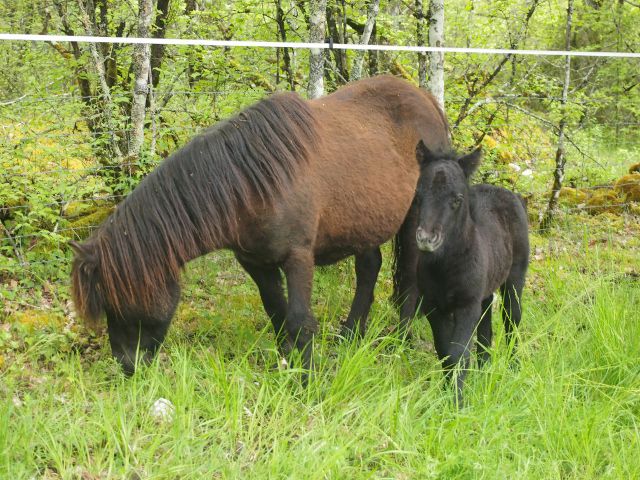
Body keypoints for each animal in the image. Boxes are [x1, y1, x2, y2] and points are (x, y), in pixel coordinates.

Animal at [70, 75, 451, 375]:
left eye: (118, 301)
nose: (127, 366)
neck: (252, 185)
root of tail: (426, 99)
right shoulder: (255, 263)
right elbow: (277, 314)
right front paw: (287, 365)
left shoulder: (298, 258)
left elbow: (299, 320)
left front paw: (307, 379)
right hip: (363, 223)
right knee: (369, 268)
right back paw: (351, 333)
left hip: (413, 221)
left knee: (409, 279)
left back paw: (400, 341)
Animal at [413, 140, 529, 403]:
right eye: (418, 195)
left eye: (457, 199)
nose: (426, 239)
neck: (445, 266)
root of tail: (511, 194)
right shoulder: (434, 306)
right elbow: (445, 352)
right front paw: (448, 395)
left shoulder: (466, 305)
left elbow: (458, 354)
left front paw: (457, 402)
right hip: (485, 291)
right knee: (486, 325)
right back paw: (484, 368)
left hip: (515, 277)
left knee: (512, 319)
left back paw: (514, 367)